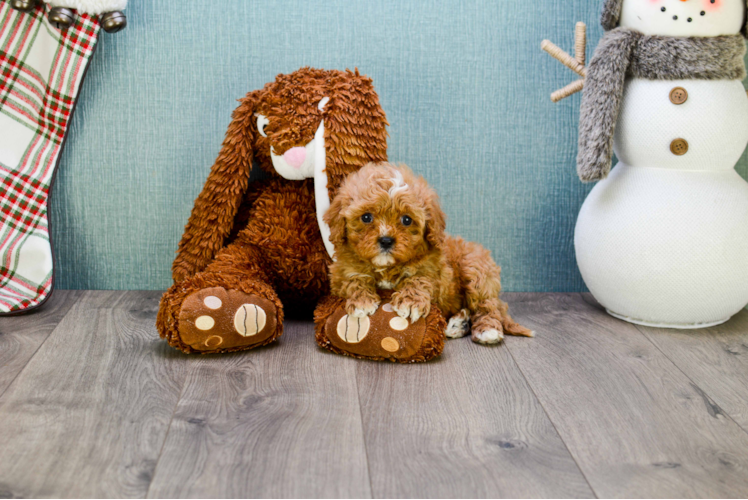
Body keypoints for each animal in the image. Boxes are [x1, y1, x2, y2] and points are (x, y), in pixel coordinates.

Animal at [326, 163, 532, 344]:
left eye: (406, 220)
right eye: (366, 217)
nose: (386, 240)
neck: (387, 266)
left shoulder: (436, 272)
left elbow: (419, 278)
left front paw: (410, 302)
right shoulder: (340, 272)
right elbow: (353, 279)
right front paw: (362, 300)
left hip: (476, 270)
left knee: (487, 305)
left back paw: (487, 330)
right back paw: (459, 324)